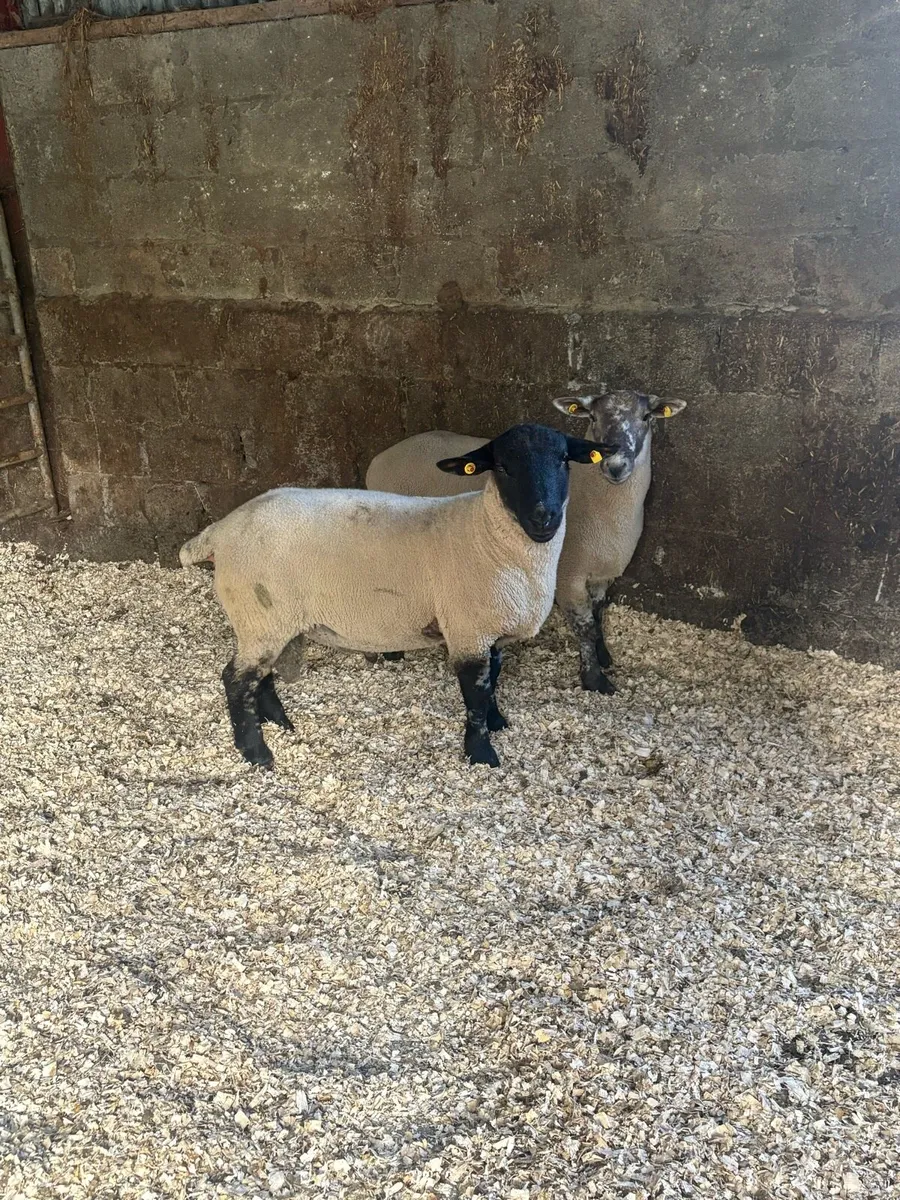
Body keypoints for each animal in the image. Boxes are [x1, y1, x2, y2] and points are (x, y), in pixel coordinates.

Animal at [179, 423, 612, 770]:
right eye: (504, 467)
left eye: (563, 461)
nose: (544, 517)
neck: (486, 535)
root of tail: (218, 531)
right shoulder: (468, 628)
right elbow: (475, 693)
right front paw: (481, 753)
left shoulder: (491, 629)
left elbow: (493, 678)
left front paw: (497, 722)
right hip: (258, 614)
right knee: (237, 680)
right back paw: (256, 753)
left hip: (267, 617)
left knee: (260, 676)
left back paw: (278, 722)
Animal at [365, 389, 686, 693]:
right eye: (593, 418)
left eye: (646, 417)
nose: (616, 465)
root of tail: (380, 458)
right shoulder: (568, 575)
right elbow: (584, 627)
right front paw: (594, 679)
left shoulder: (603, 574)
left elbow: (598, 616)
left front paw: (603, 655)